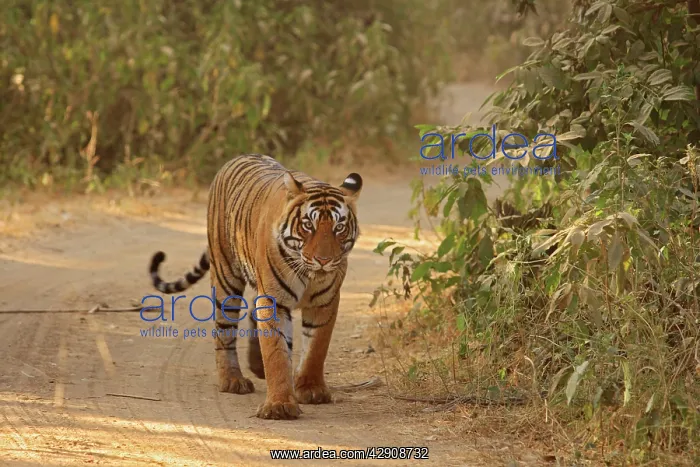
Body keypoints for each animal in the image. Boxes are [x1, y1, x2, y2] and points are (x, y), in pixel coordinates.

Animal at [148, 154, 362, 420]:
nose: (323, 260)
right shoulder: (273, 300)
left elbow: (316, 347)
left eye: (339, 228)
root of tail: (238, 158)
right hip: (225, 277)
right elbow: (276, 353)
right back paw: (232, 380)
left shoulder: (325, 302)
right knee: (224, 331)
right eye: (308, 226)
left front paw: (311, 389)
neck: (309, 274)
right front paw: (280, 405)